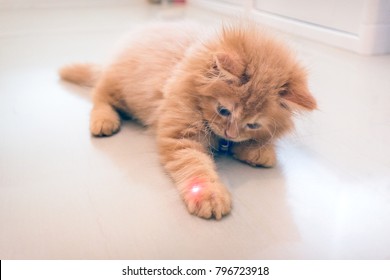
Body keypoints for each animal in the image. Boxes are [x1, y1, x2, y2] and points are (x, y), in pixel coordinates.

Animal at [60, 20, 316, 220]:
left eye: (252, 124)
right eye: (224, 111)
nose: (230, 133)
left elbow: (256, 142)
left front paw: (259, 150)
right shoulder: (180, 136)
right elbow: (195, 165)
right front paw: (209, 195)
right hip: (117, 89)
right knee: (99, 98)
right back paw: (104, 121)